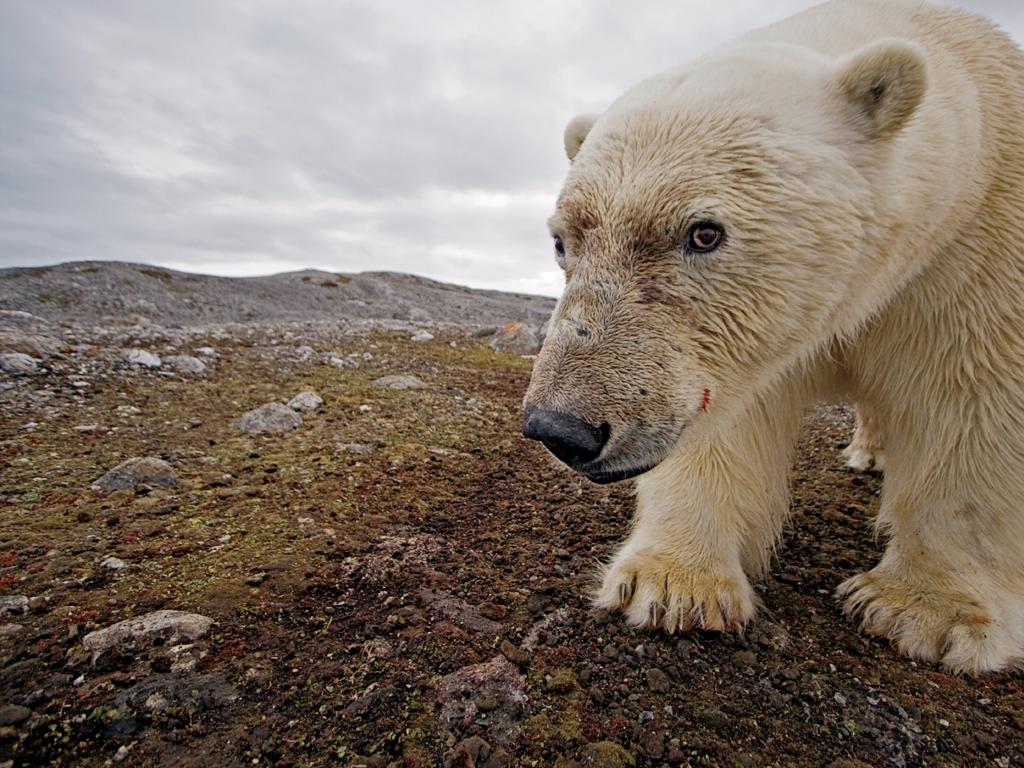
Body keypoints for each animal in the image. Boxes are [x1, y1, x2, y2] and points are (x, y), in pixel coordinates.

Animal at [524, 0, 1024, 671]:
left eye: (704, 232)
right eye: (562, 241)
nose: (561, 429)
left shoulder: (974, 253)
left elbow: (974, 401)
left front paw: (925, 613)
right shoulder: (744, 345)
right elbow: (730, 418)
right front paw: (673, 584)